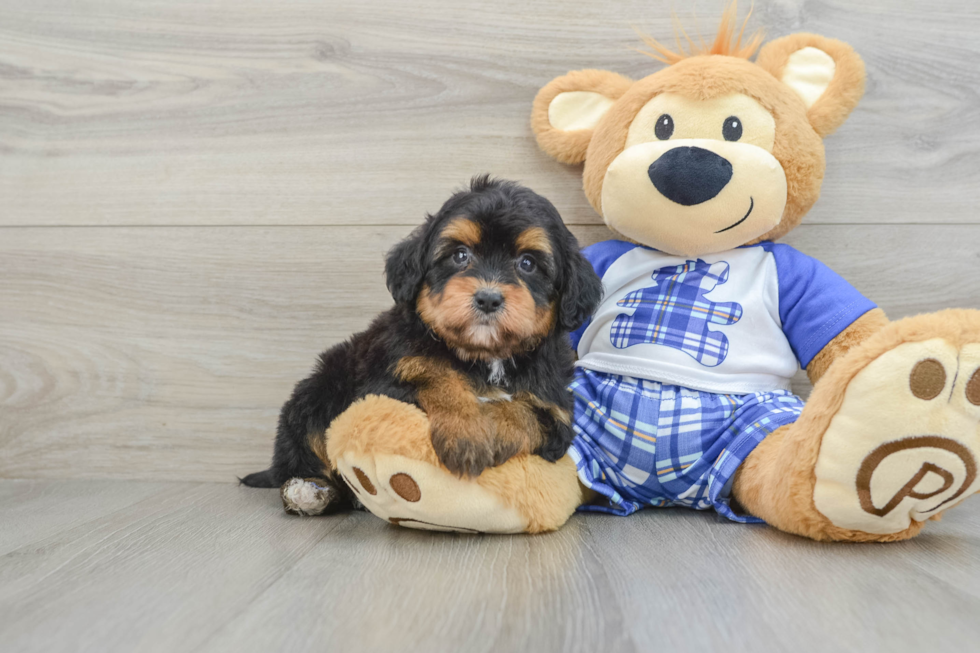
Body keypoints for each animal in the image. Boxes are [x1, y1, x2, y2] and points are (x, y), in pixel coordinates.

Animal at [241, 177, 600, 516]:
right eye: (460, 255)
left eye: (527, 263)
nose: (488, 298)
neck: (484, 357)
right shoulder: (383, 381)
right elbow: (433, 374)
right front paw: (466, 434)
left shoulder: (557, 411)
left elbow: (523, 412)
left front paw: (491, 431)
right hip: (318, 393)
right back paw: (310, 491)